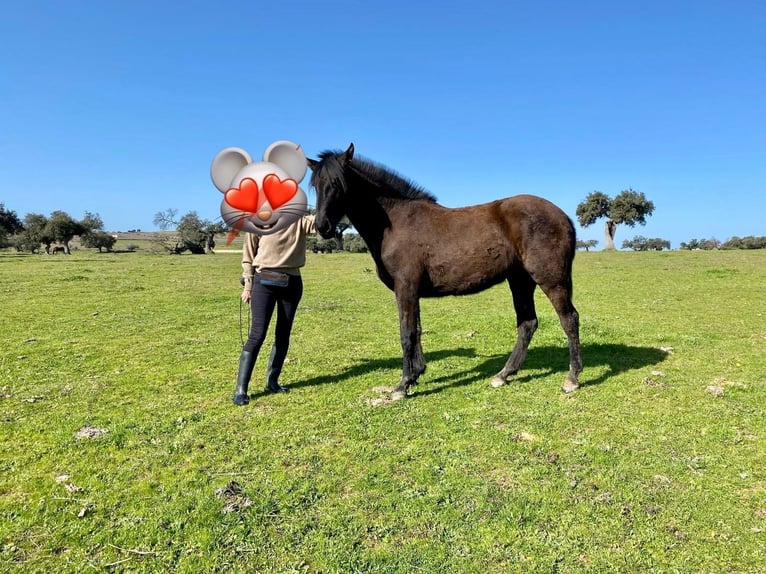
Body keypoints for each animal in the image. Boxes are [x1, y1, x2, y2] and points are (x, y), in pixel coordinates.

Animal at [306, 144, 584, 402]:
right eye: (316, 185)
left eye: (338, 183)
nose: (323, 227)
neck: (395, 222)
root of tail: (563, 217)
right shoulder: (412, 291)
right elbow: (416, 330)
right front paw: (416, 375)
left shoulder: (405, 287)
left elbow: (406, 333)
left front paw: (402, 386)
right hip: (520, 280)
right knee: (527, 324)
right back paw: (503, 374)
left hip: (551, 280)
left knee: (569, 319)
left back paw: (571, 378)